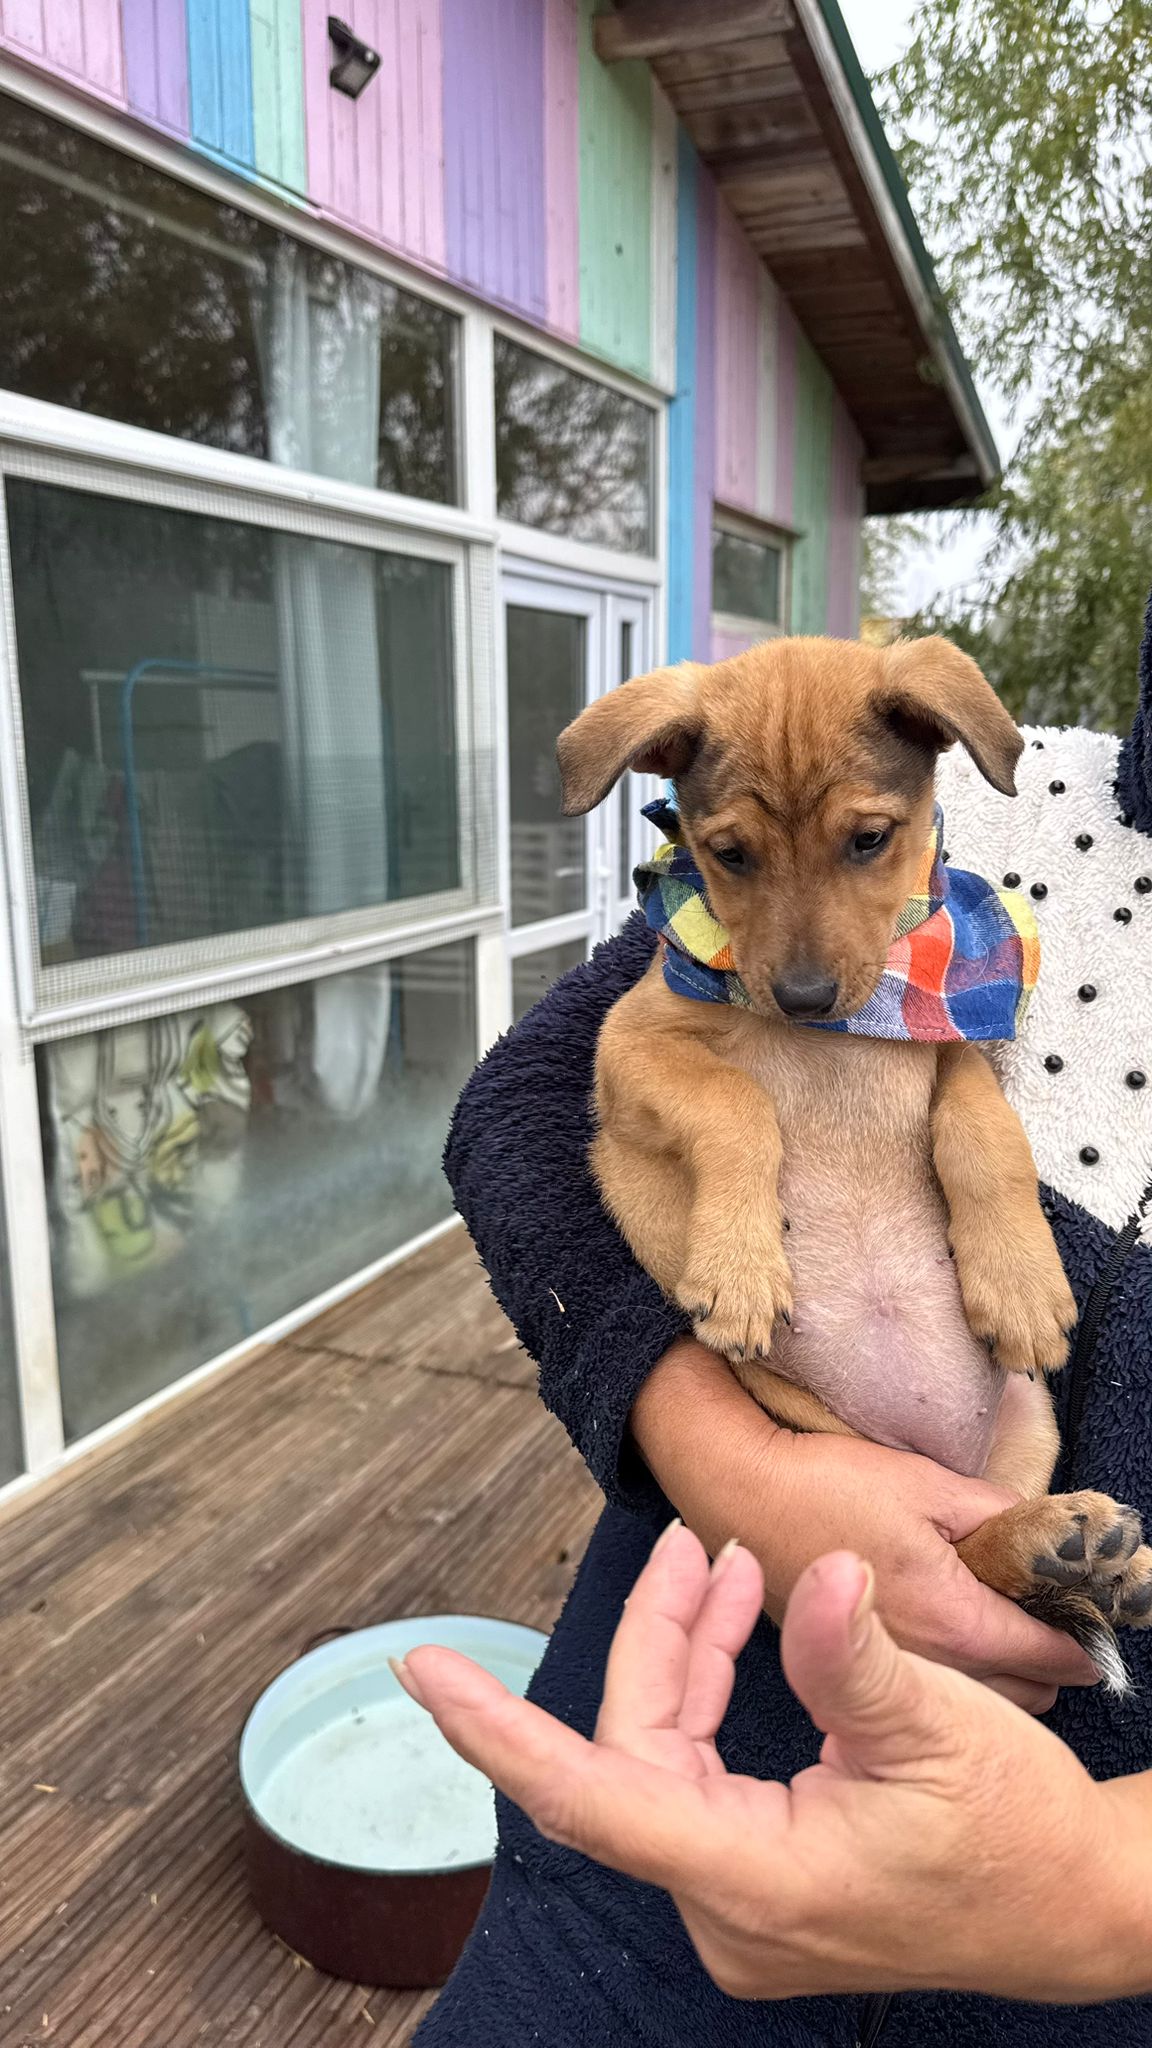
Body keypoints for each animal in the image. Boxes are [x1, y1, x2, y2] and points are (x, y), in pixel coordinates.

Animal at [557, 635, 1152, 1684]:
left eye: (870, 840)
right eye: (731, 854)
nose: (800, 997)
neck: (847, 1029)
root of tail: (937, 1455)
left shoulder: (959, 1053)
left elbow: (983, 1137)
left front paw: (1020, 1286)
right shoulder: (629, 1051)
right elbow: (739, 1104)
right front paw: (741, 1269)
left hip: (1029, 1427)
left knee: (987, 1538)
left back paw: (1079, 1551)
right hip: (830, 1428)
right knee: (963, 1550)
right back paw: (1060, 1550)